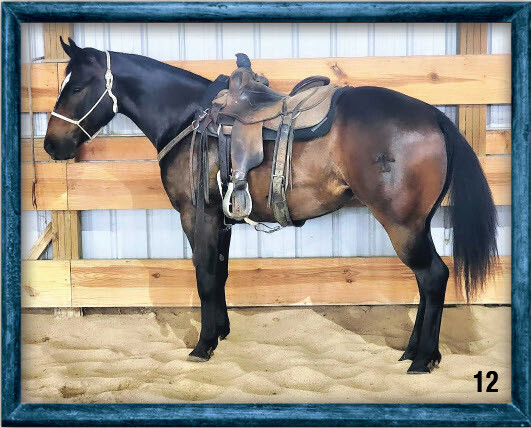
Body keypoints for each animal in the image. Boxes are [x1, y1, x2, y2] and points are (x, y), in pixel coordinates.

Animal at [43, 38, 498, 374]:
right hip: (417, 225)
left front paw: (203, 346)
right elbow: (220, 275)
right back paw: (413, 351)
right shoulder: (221, 219)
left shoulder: (197, 217)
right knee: (427, 281)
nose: (51, 146)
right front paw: (221, 332)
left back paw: (423, 359)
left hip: (402, 225)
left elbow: (205, 277)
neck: (189, 118)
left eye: (77, 87)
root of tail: (435, 117)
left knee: (433, 277)